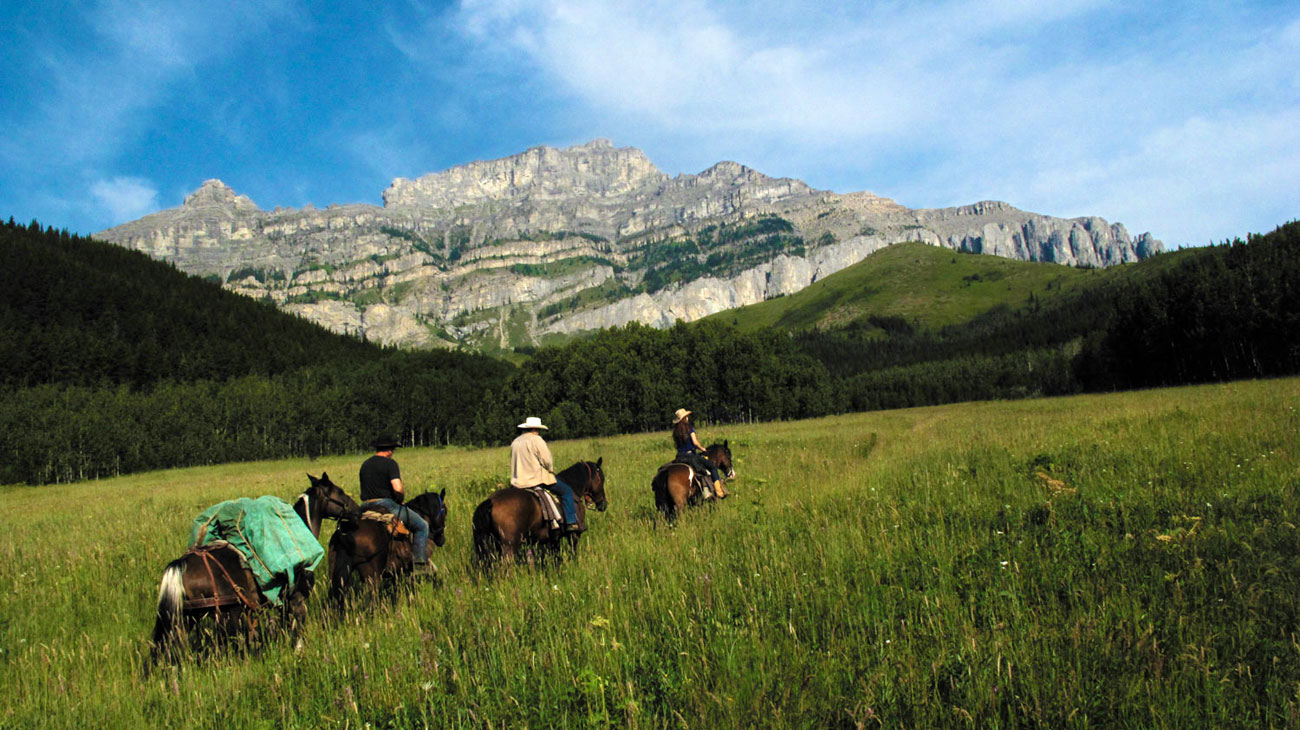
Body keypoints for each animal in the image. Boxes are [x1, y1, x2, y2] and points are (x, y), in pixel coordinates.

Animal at [148, 467, 356, 662]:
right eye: (339, 491)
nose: (356, 509)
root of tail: (180, 564)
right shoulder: (296, 597)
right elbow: (297, 628)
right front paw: (298, 652)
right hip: (228, 614)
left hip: (188, 617)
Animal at [470, 454, 605, 563]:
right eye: (601, 480)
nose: (603, 504)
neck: (572, 487)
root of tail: (490, 501)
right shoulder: (574, 535)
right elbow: (572, 552)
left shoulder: (554, 538)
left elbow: (556, 558)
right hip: (509, 546)